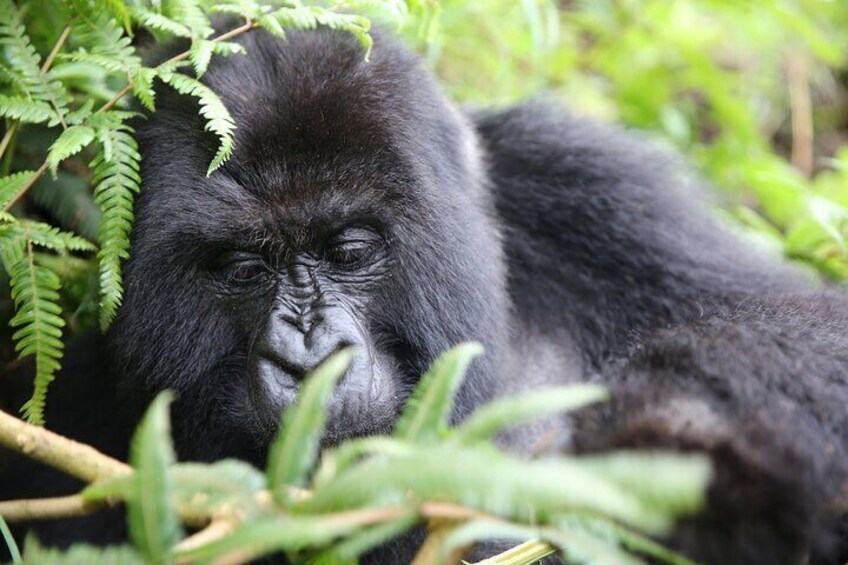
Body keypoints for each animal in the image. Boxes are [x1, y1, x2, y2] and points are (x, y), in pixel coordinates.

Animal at [1, 26, 848, 564]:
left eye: (349, 251)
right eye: (244, 267)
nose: (308, 355)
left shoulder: (592, 190)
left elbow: (803, 324)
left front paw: (675, 422)